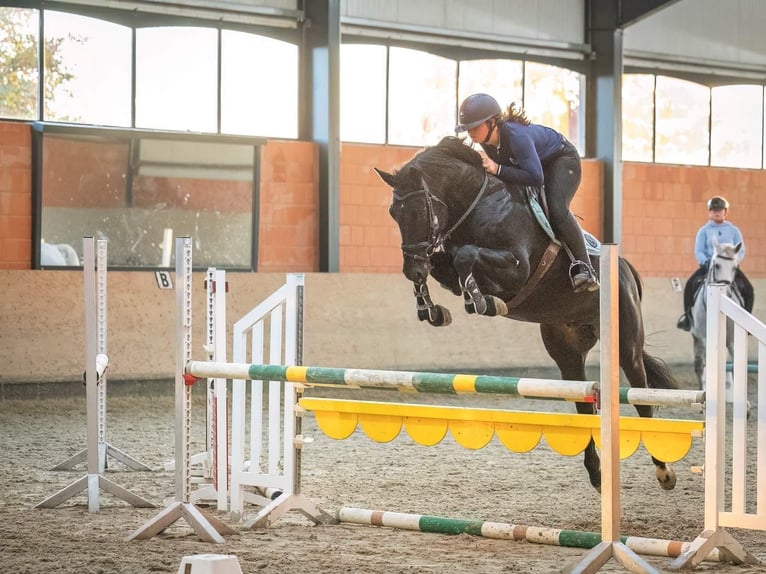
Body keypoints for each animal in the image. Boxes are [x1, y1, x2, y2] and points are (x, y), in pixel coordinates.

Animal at [376, 137, 680, 492]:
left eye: (417, 210)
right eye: (393, 213)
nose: (410, 268)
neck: (477, 203)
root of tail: (624, 268)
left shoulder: (517, 267)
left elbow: (466, 256)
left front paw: (483, 301)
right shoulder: (447, 261)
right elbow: (445, 265)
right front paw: (433, 307)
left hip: (625, 343)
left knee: (642, 397)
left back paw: (664, 471)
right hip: (567, 349)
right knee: (583, 403)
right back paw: (597, 473)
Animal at [688, 238, 744, 396]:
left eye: (735, 267)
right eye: (717, 265)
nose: (727, 293)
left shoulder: (732, 339)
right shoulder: (704, 337)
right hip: (698, 339)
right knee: (699, 364)